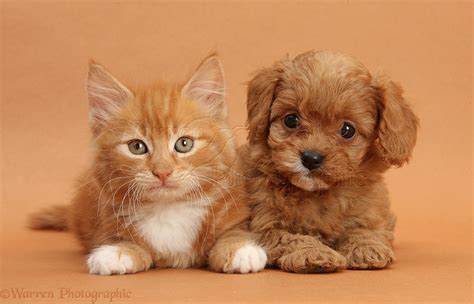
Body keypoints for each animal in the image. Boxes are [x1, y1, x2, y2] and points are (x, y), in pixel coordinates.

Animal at [29, 55, 266, 276]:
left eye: (184, 143)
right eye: (137, 147)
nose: (162, 172)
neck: (169, 209)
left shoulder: (236, 210)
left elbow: (234, 232)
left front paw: (240, 250)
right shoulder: (106, 221)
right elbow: (123, 241)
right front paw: (117, 252)